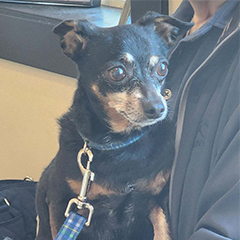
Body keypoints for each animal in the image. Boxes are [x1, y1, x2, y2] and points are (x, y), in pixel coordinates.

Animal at [35, 11, 192, 240]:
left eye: (162, 68)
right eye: (117, 72)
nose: (157, 108)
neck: (123, 144)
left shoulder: (156, 199)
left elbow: (164, 230)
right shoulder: (61, 201)